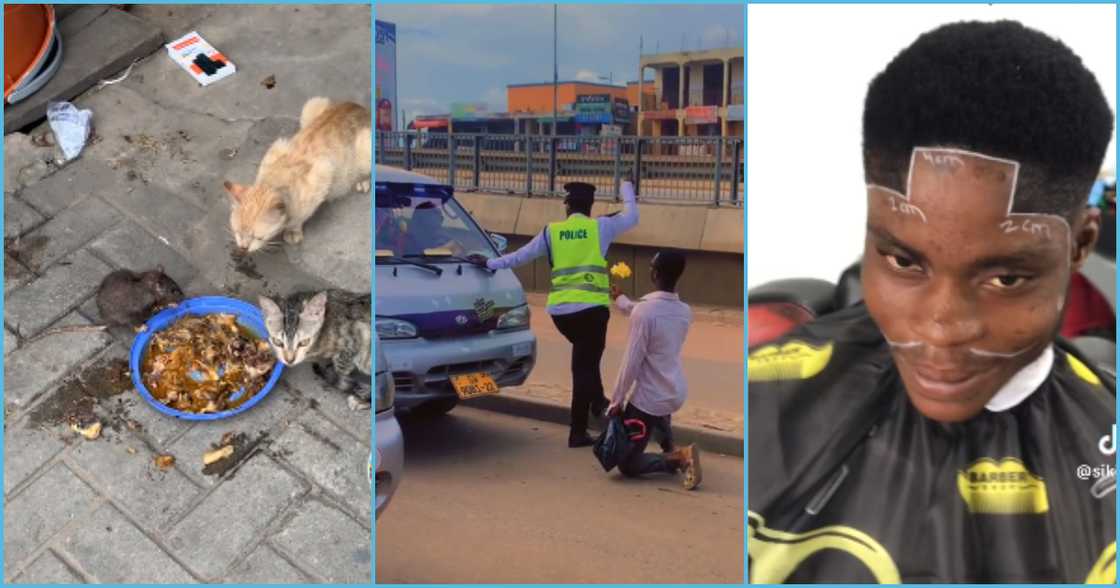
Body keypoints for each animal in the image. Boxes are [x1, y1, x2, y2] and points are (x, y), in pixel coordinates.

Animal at [222, 96, 371, 252]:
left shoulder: (323, 174)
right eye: (238, 232)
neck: (275, 180)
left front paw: (292, 230)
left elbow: (300, 216)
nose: (243, 248)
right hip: (312, 105)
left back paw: (362, 180)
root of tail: (360, 108)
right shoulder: (277, 146)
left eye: (258, 237)